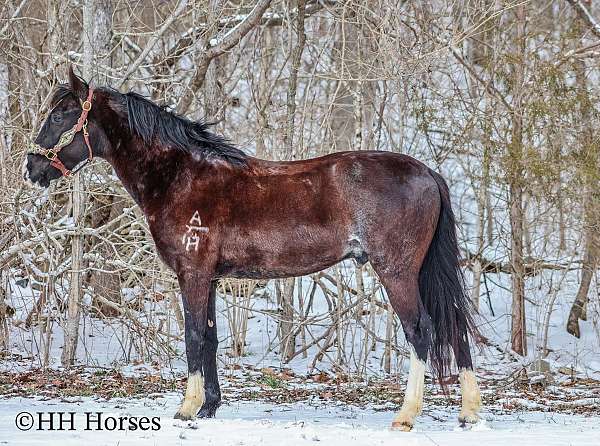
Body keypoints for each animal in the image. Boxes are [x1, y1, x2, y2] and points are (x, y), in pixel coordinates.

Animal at [24, 68, 482, 430]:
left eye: (61, 113)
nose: (31, 167)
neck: (182, 177)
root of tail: (427, 173)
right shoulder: (208, 278)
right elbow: (209, 337)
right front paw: (208, 406)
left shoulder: (192, 274)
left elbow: (193, 335)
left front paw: (187, 407)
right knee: (455, 327)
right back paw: (468, 412)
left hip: (397, 272)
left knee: (421, 331)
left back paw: (406, 415)